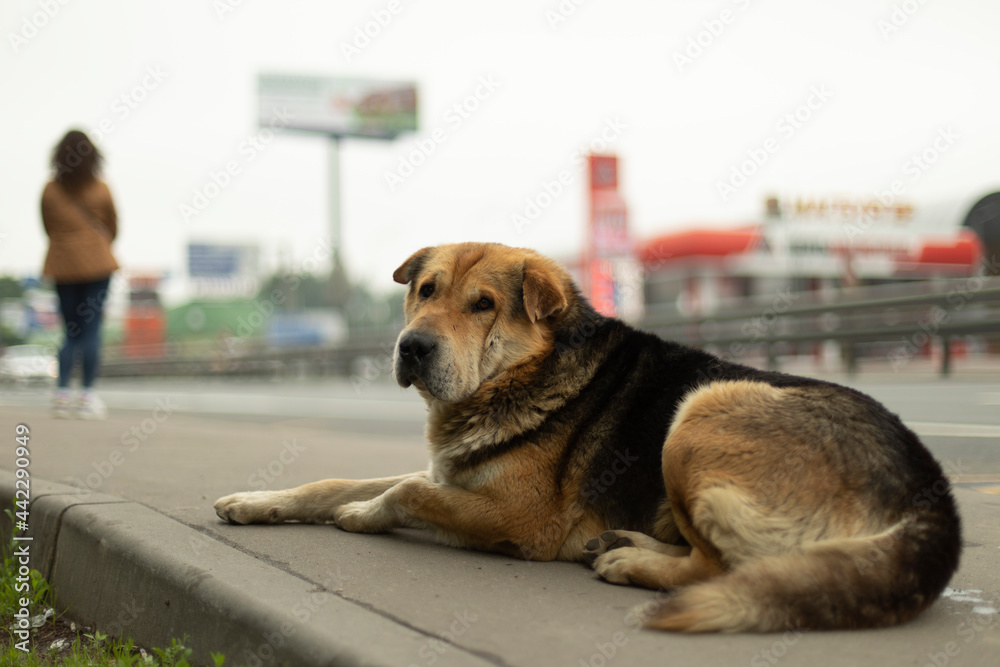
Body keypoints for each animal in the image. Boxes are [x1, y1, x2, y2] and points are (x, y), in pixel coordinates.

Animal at [215, 243, 964, 636]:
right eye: (424, 290)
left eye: (483, 305)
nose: (410, 347)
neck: (526, 373)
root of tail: (934, 498)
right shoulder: (453, 472)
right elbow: (336, 480)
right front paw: (257, 501)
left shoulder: (517, 517)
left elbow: (400, 492)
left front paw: (364, 516)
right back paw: (622, 541)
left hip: (702, 409)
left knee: (720, 567)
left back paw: (631, 563)